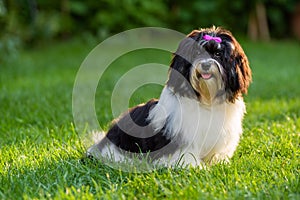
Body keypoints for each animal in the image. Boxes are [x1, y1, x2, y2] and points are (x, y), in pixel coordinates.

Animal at [86, 27, 251, 167]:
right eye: (197, 54)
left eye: (217, 54)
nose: (205, 65)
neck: (205, 99)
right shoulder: (182, 138)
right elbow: (185, 155)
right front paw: (194, 167)